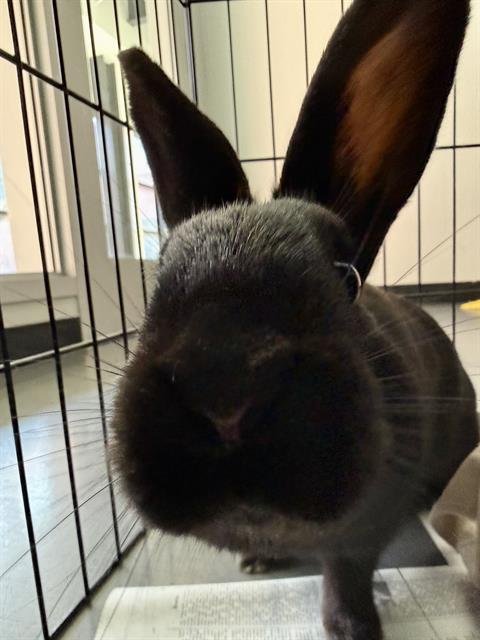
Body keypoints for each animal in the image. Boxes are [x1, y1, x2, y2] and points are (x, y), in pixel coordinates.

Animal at [113, 1, 478, 638]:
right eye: (156, 284)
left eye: (347, 278)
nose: (225, 391)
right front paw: (258, 560)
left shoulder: (364, 530)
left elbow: (347, 572)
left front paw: (352, 628)